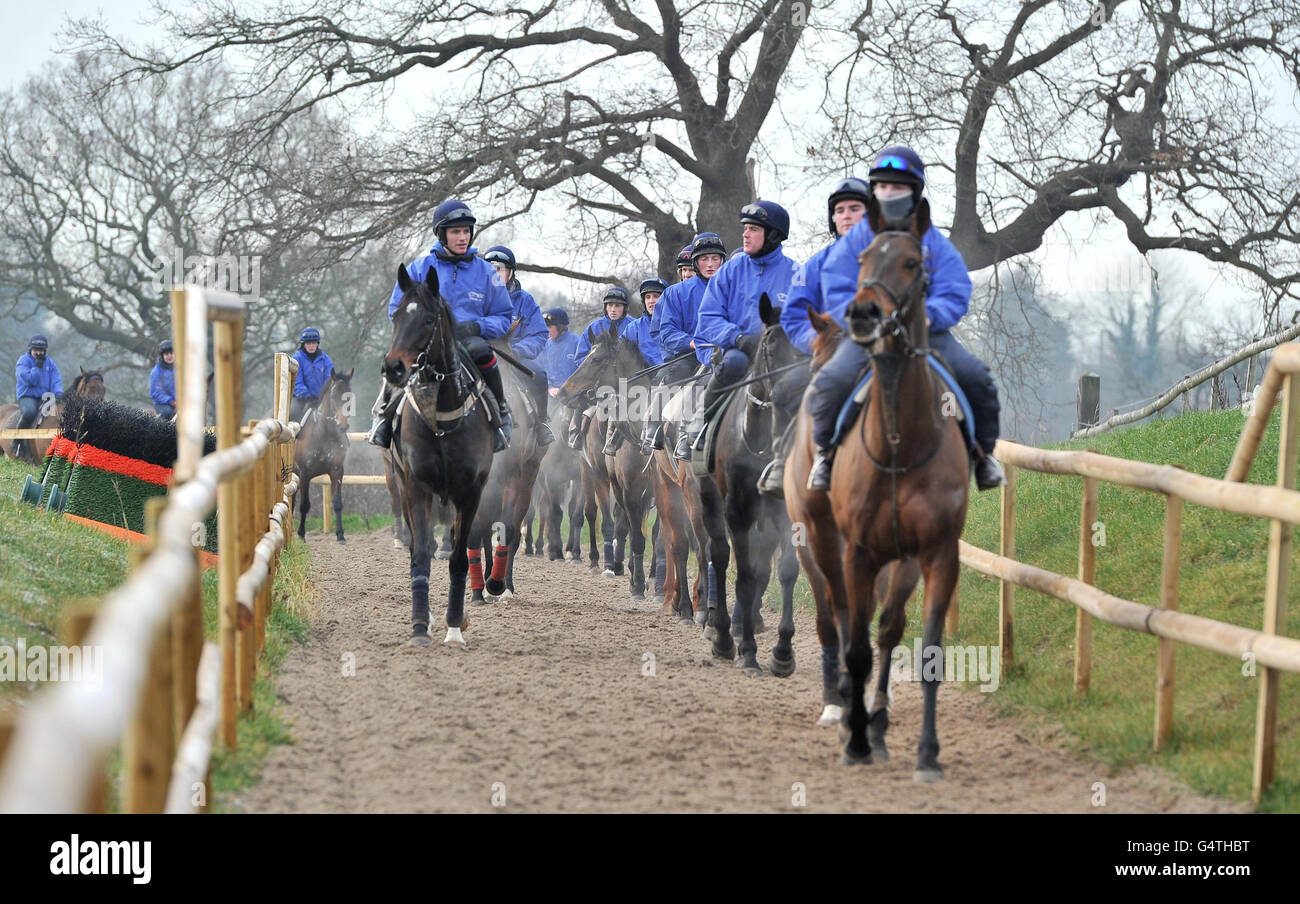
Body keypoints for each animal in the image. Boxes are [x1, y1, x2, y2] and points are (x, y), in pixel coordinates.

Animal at [293, 366, 353, 543]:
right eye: (333, 396)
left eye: (349, 395)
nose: (342, 426)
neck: (324, 434)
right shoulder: (305, 474)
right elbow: (304, 505)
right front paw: (301, 534)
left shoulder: (337, 471)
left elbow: (337, 503)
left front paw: (340, 535)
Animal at [384, 265, 496, 647]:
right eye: (396, 315)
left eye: (429, 319)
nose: (394, 368)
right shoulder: (417, 487)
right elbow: (420, 553)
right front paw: (420, 625)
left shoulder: (472, 492)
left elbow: (460, 558)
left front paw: (455, 625)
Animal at [691, 293, 800, 676]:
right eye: (769, 344)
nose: (790, 389)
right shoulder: (736, 511)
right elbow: (745, 576)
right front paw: (748, 651)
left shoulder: (786, 512)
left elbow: (786, 571)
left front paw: (783, 652)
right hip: (710, 501)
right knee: (720, 557)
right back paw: (723, 635)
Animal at [780, 201, 967, 780]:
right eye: (861, 260)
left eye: (912, 262)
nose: (863, 312)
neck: (899, 446)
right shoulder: (850, 549)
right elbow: (851, 635)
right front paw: (854, 732)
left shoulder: (928, 552)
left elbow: (907, 641)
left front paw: (916, 748)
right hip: (820, 542)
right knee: (836, 617)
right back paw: (840, 704)